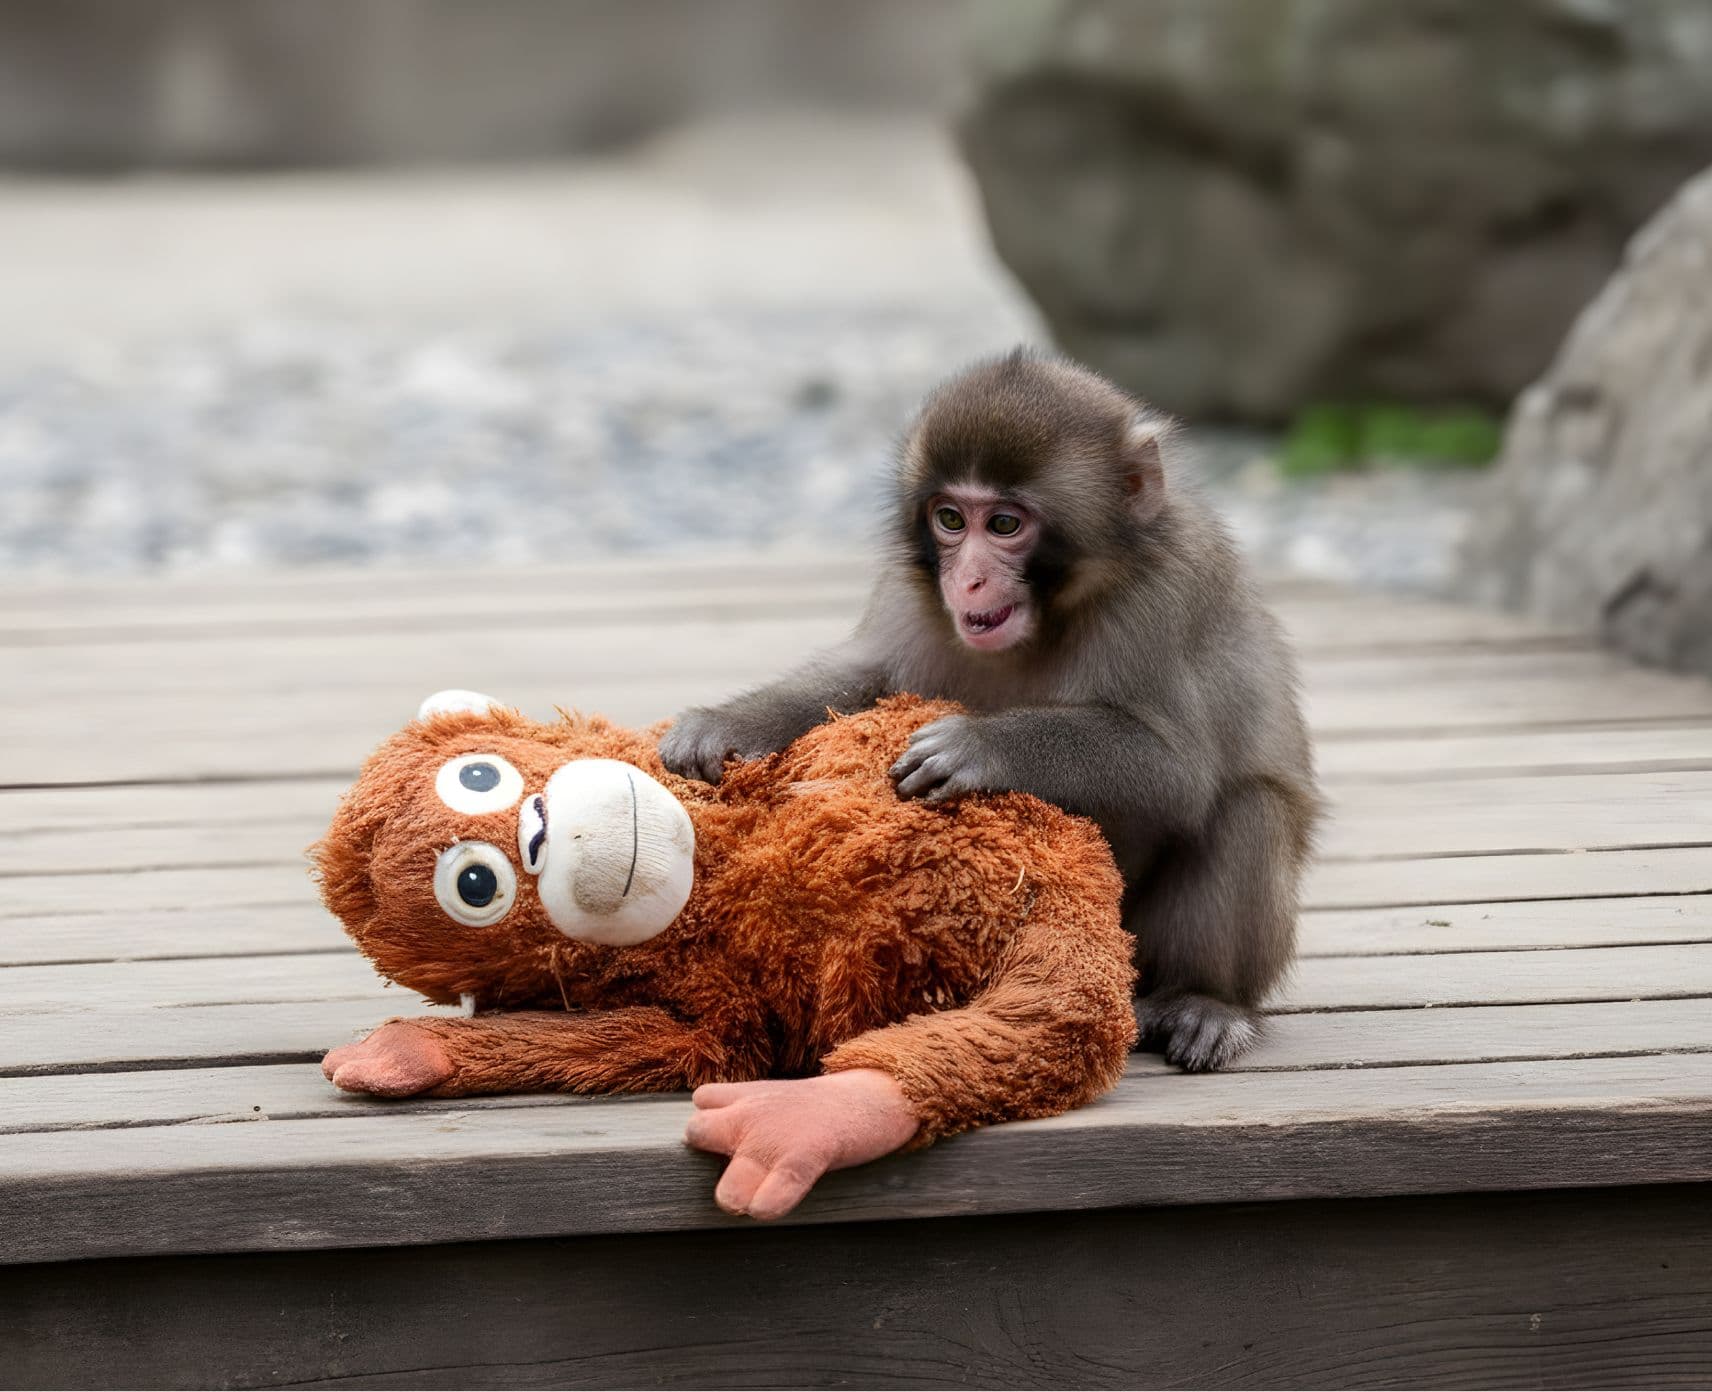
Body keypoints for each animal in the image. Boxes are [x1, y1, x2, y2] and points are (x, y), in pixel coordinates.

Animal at [660, 351, 1319, 1072]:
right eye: (951, 519)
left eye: (1004, 525)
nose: (968, 579)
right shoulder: (911, 587)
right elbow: (867, 678)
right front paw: (729, 724)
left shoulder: (1166, 596)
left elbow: (1179, 770)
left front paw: (980, 746)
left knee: (1249, 808)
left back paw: (1208, 1002)